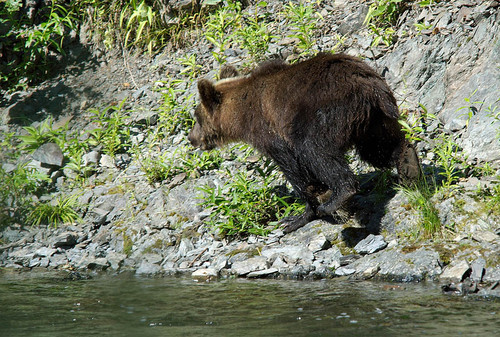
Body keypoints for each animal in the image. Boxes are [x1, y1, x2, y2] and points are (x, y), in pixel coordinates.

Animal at [189, 52, 420, 232]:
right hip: (374, 119)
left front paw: (297, 216)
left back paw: (338, 196)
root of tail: (367, 80)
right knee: (380, 148)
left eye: (197, 117)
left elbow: (297, 171)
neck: (242, 114)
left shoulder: (271, 132)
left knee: (316, 151)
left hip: (327, 112)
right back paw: (410, 166)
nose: (191, 138)